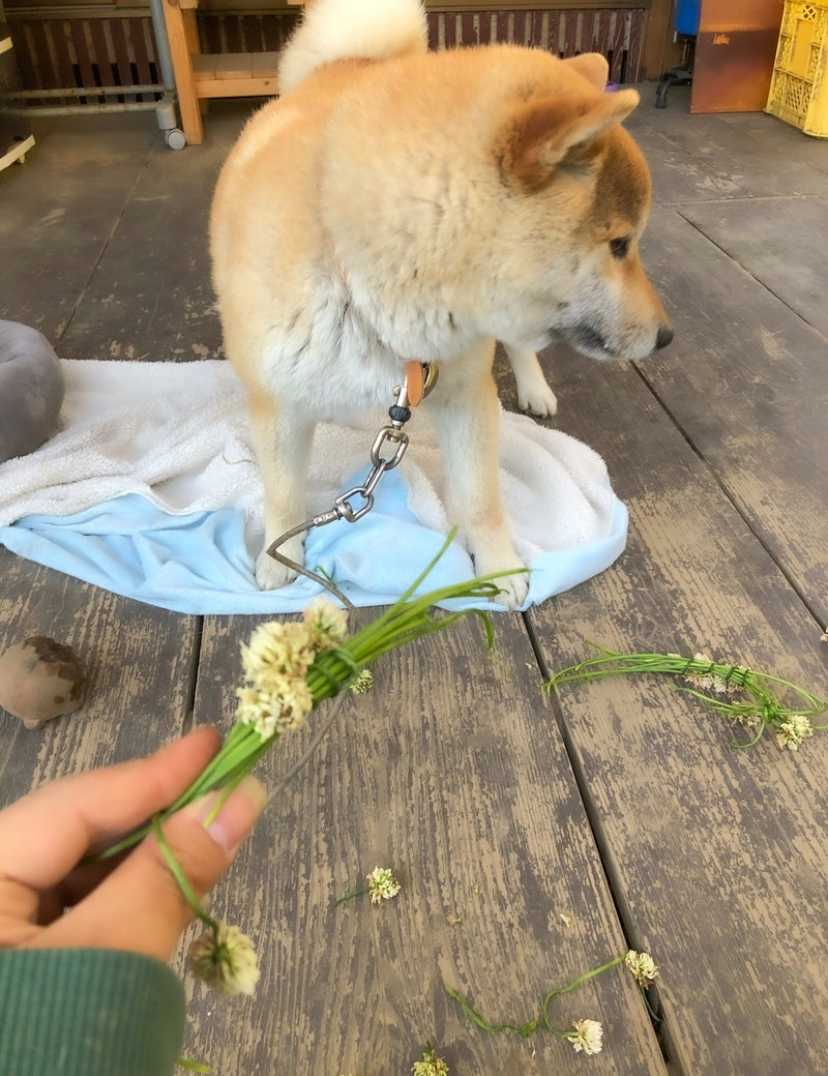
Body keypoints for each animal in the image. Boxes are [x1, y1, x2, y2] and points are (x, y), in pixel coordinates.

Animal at [209, 0, 666, 606]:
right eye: (620, 245)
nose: (667, 335)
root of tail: (349, 59)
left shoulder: (466, 396)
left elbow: (482, 499)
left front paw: (499, 567)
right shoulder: (278, 405)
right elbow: (282, 494)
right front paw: (277, 557)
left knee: (522, 349)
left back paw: (536, 388)